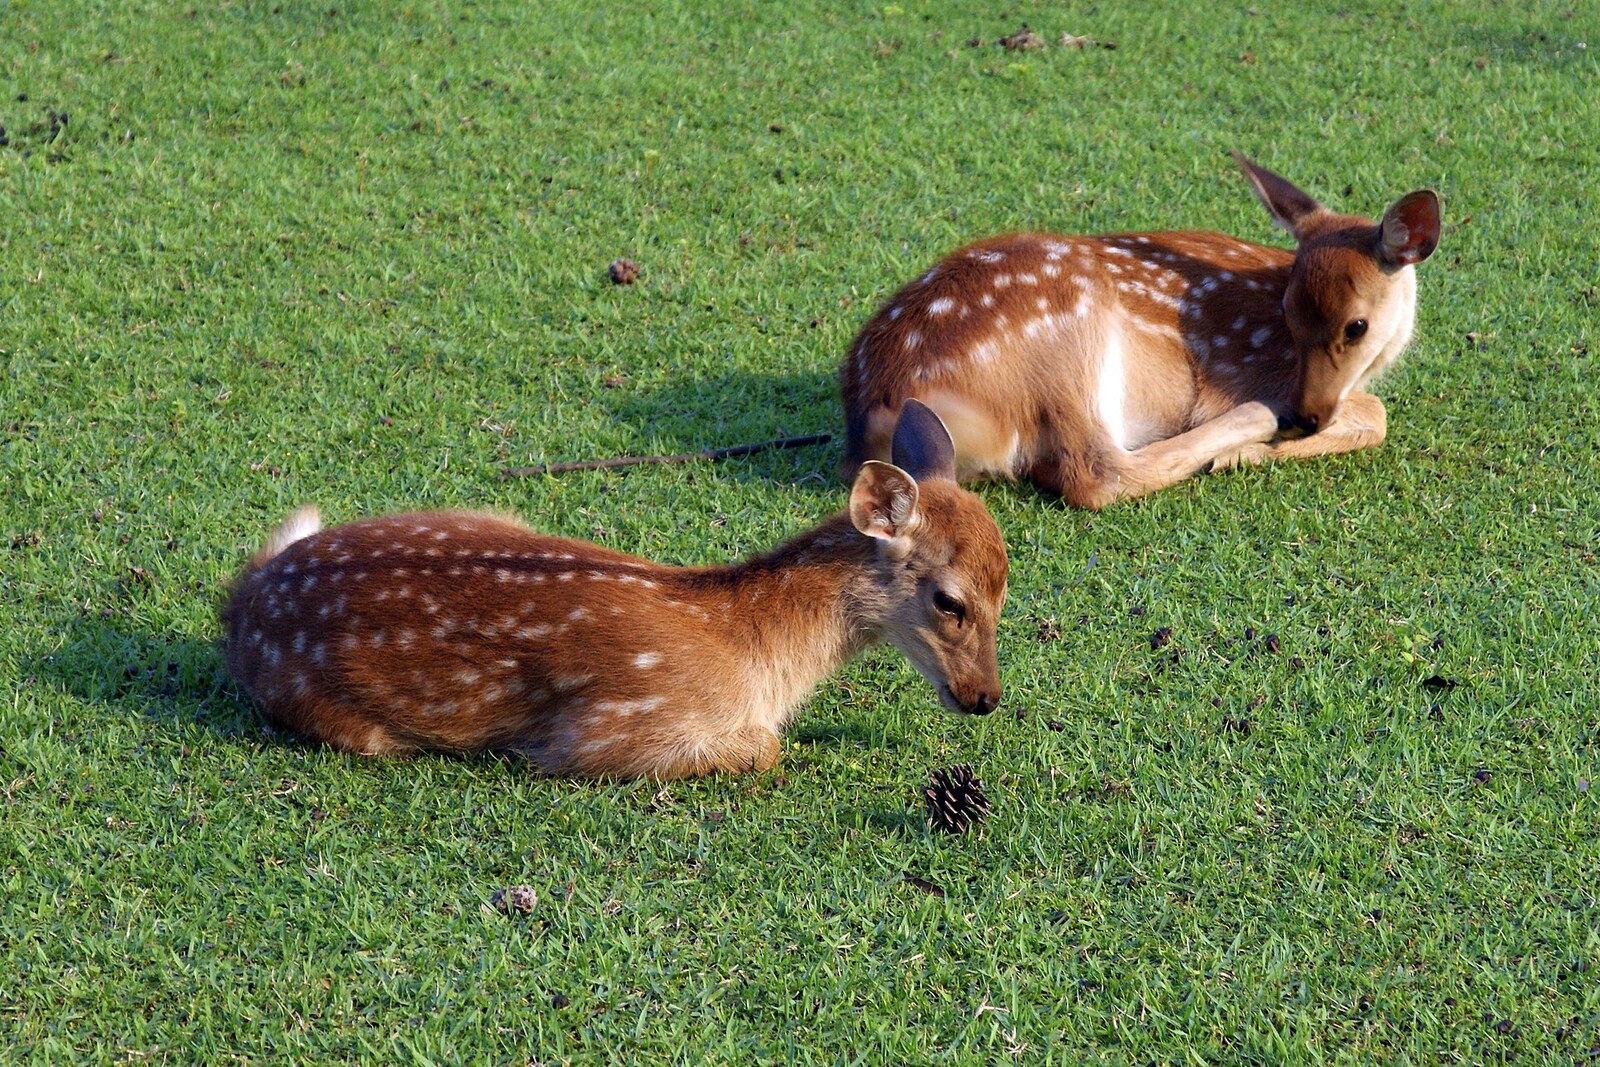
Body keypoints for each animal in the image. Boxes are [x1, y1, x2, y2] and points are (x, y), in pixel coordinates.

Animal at [222, 401, 1008, 781]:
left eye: (1006, 589)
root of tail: (244, 602)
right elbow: (766, 748)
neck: (756, 654)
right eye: (950, 600)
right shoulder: (614, 728)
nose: (985, 698)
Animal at [840, 153, 1442, 509]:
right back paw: (1249, 430)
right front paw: (1252, 450)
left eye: (1356, 325)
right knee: (1095, 476)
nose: (1305, 414)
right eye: (1288, 321)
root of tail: (876, 410)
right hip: (1070, 335)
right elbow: (1376, 414)